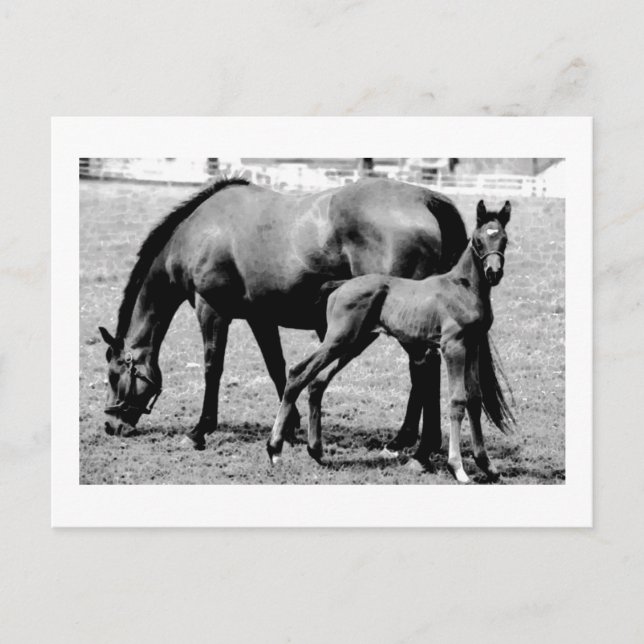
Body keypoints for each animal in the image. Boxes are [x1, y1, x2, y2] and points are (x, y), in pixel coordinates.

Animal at [97, 176, 468, 465]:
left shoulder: (211, 311)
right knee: (422, 372)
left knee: (424, 369)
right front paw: (289, 428)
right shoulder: (260, 318)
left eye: (114, 376)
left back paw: (420, 450)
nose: (110, 425)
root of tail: (424, 199)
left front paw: (199, 431)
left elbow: (212, 368)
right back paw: (404, 441)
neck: (200, 231)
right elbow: (277, 367)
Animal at [267, 200, 515, 483]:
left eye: (504, 239)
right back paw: (274, 449)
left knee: (317, 381)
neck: (463, 287)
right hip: (338, 340)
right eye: (478, 240)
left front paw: (487, 465)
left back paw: (316, 451)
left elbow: (474, 399)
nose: (493, 272)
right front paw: (458, 468)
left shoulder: (473, 344)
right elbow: (457, 401)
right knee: (298, 372)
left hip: (354, 343)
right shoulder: (453, 346)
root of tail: (340, 286)